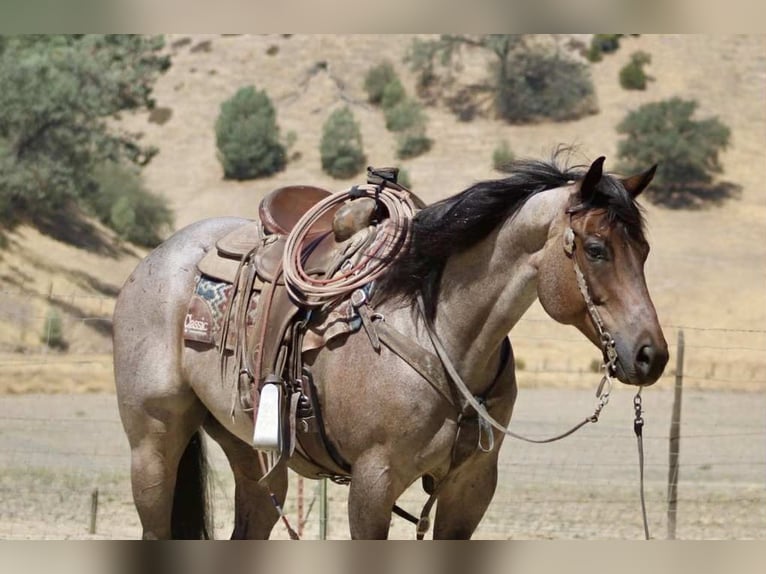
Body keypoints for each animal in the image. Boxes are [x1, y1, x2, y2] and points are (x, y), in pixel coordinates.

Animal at [113, 154, 669, 539]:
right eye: (595, 249)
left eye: (644, 251)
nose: (651, 355)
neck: (439, 333)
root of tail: (157, 257)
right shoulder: (372, 484)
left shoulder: (471, 487)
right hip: (153, 444)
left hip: (250, 451)